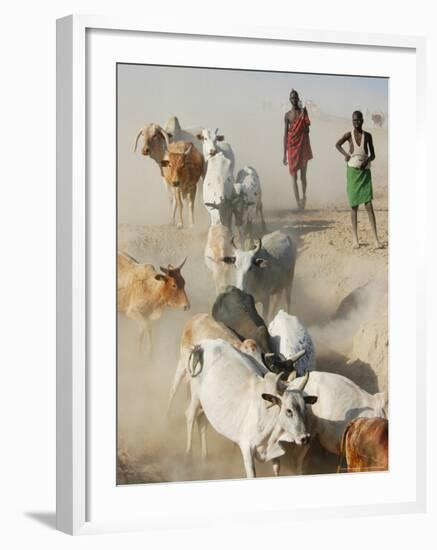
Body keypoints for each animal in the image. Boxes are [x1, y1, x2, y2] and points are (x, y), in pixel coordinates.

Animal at [185, 338, 316, 476]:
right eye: (288, 411)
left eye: (305, 408)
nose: (305, 438)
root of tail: (204, 344)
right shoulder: (246, 448)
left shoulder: (274, 454)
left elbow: (276, 469)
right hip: (196, 395)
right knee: (190, 416)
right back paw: (188, 454)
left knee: (202, 420)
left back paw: (204, 456)